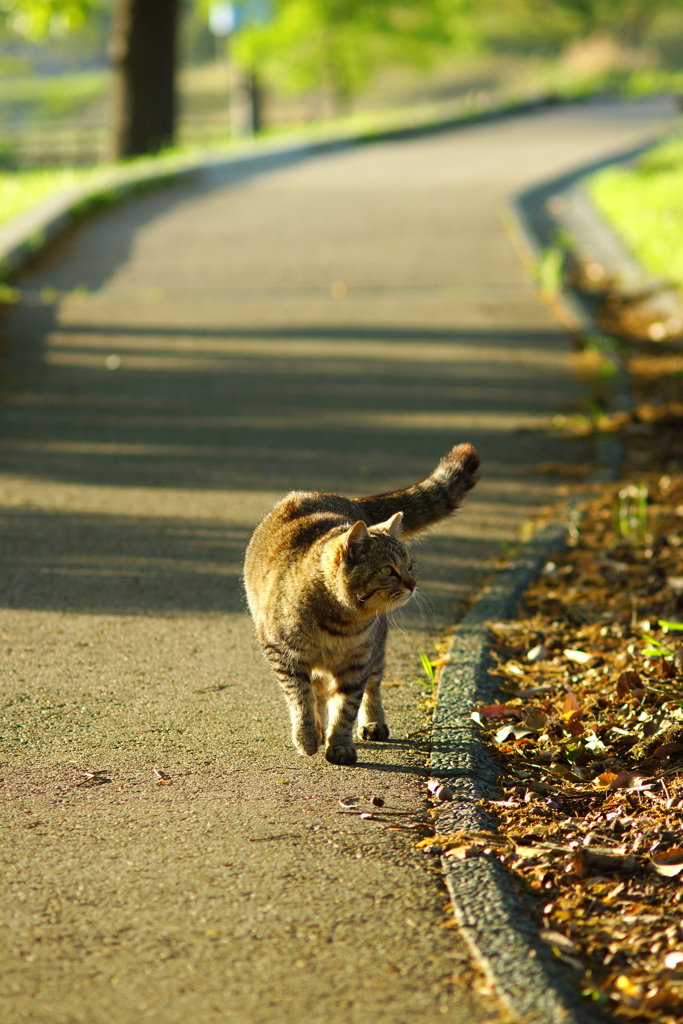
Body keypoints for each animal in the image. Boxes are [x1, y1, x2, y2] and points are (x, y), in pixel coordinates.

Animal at [245, 444, 481, 765]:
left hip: (377, 649)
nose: (412, 584)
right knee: (319, 690)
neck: (340, 620)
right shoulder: (284, 656)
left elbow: (346, 707)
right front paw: (307, 736)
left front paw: (339, 745)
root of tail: (330, 494)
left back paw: (371, 723)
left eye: (410, 565)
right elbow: (301, 699)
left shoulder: (357, 663)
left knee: (373, 685)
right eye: (388, 570)